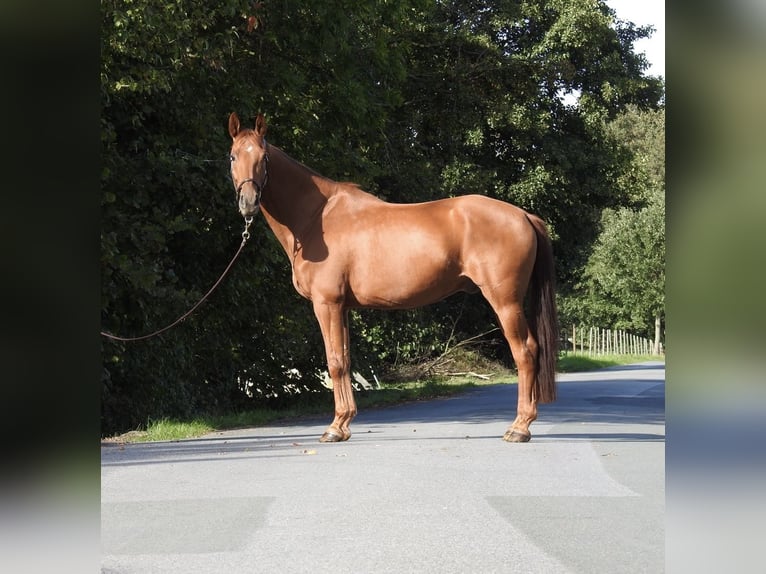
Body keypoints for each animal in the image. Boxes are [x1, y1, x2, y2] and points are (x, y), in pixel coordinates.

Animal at [227, 112, 559, 443]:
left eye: (263, 157)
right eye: (233, 156)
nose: (248, 202)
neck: (316, 218)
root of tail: (523, 215)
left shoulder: (326, 304)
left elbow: (334, 363)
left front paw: (334, 428)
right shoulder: (342, 308)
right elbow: (345, 360)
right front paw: (344, 423)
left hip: (505, 301)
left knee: (525, 352)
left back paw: (519, 427)